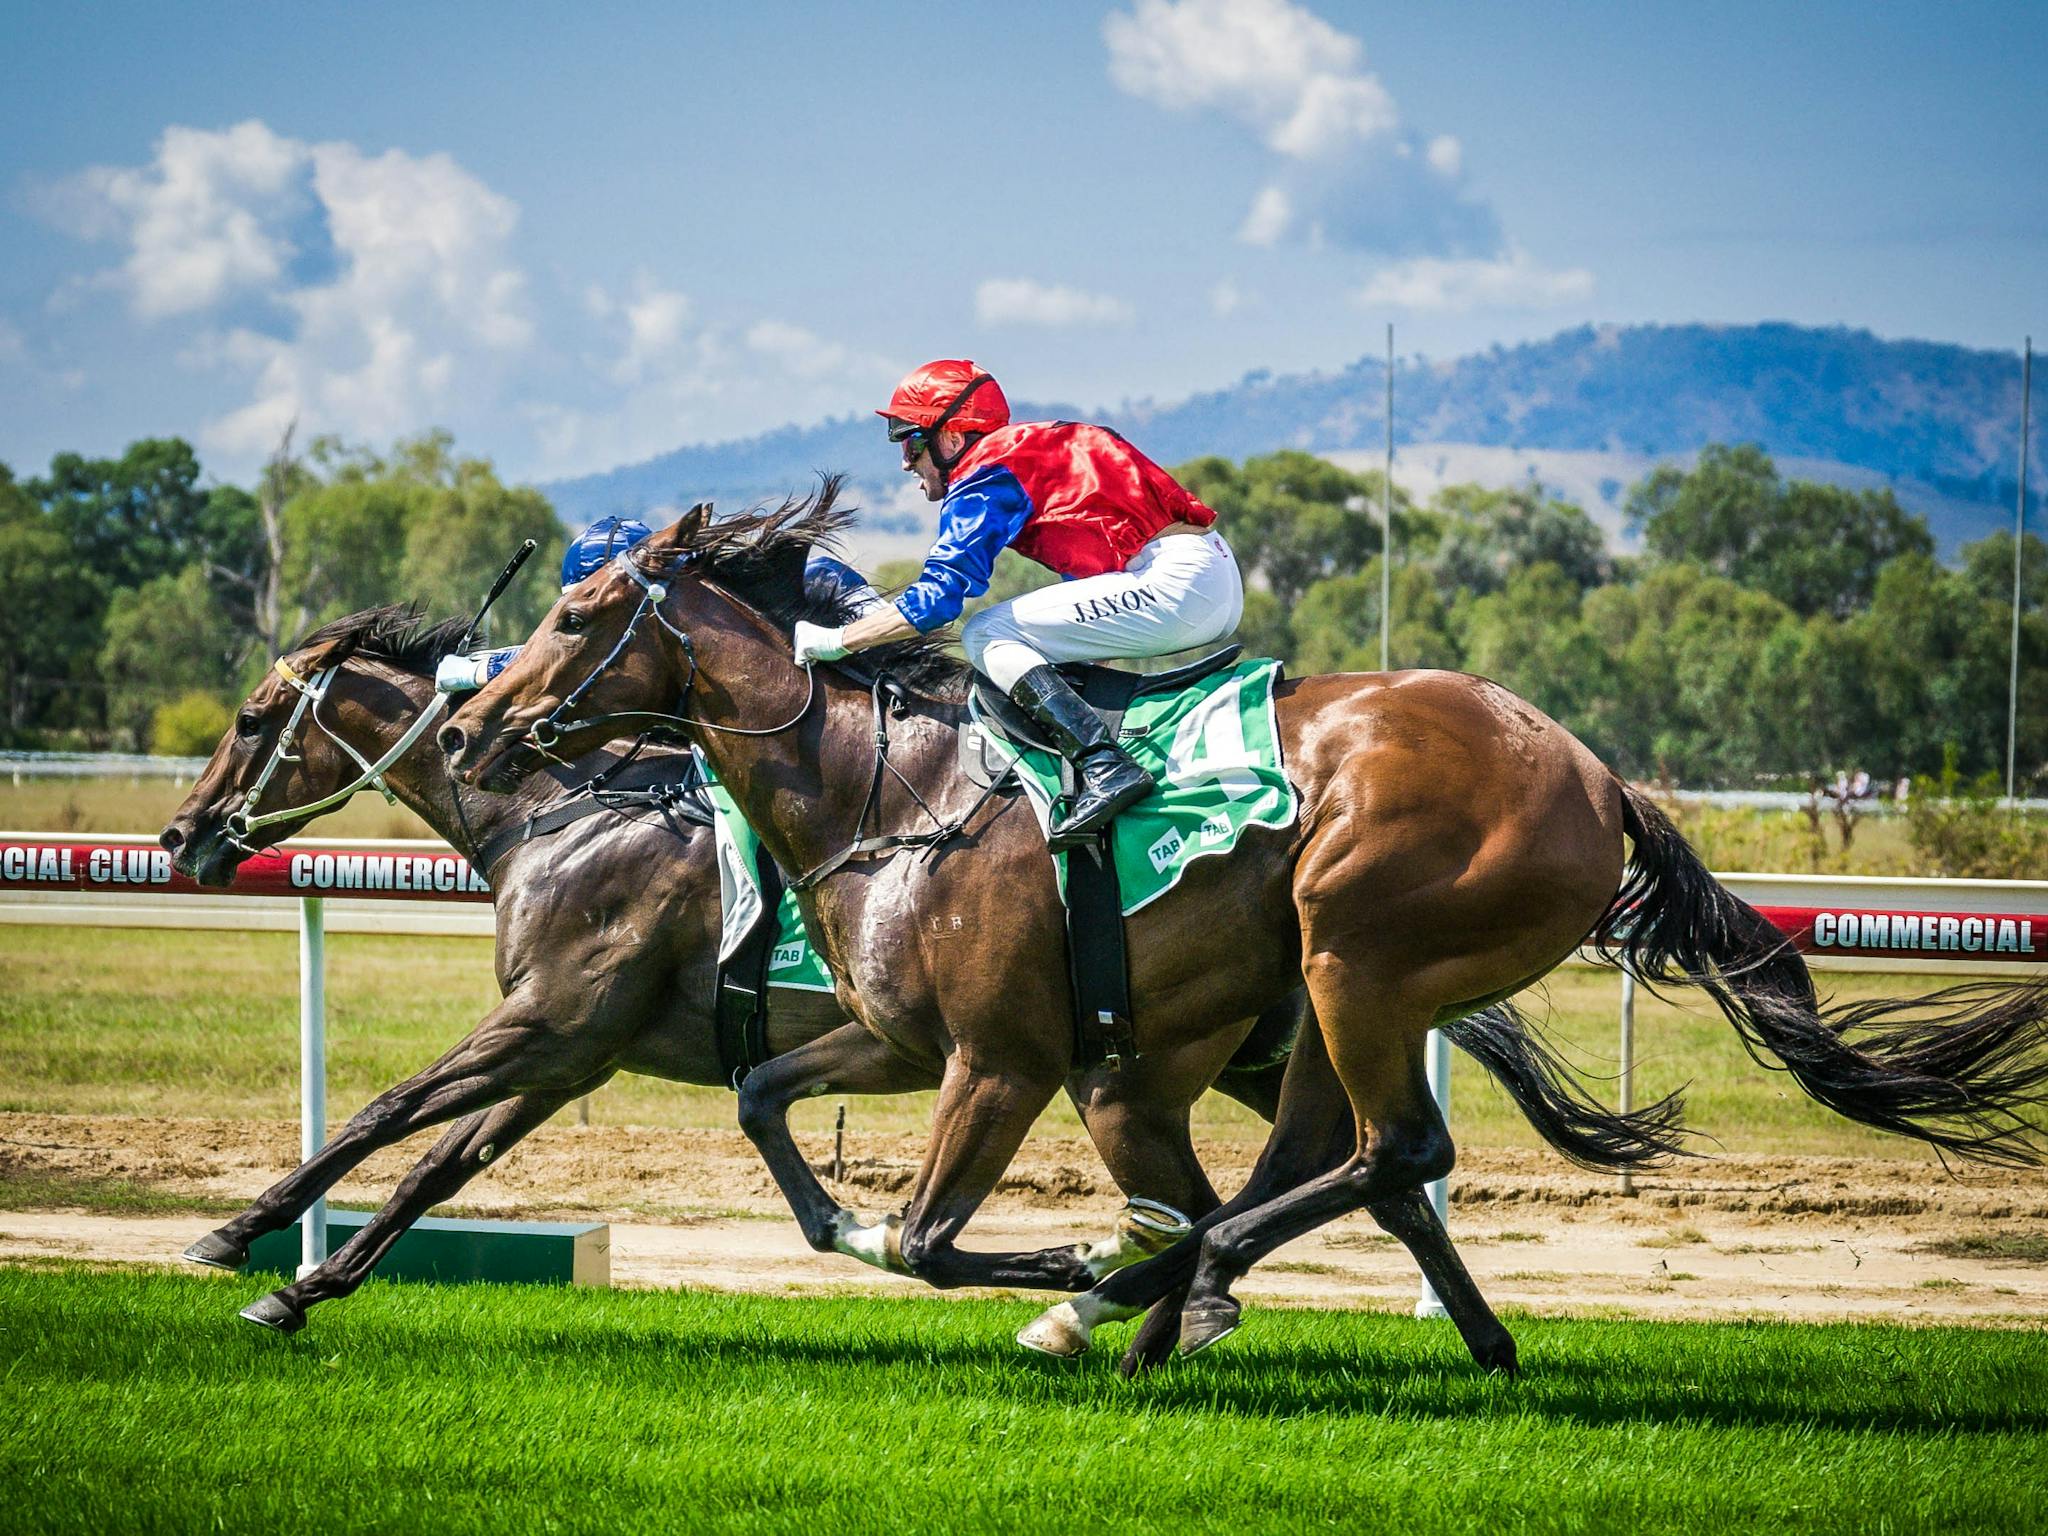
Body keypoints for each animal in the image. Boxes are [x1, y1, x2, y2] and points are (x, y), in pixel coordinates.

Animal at [158, 601, 1556, 1343]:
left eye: (249, 721)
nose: (181, 837)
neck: (565, 811)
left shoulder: (554, 1018)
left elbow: (390, 1114)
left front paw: (234, 1237)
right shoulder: (571, 1050)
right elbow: (439, 1162)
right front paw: (306, 1284)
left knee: (1351, 1171)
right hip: (1255, 1046)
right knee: (1377, 1181)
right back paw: (1457, 1342)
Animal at [440, 485, 2048, 1373]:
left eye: (579, 614)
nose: (467, 723)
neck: (891, 786)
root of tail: (1596, 774)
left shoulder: (1002, 1058)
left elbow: (931, 1239)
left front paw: (1067, 1274)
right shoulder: (901, 1040)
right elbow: (775, 1112)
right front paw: (937, 1242)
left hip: (1359, 953)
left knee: (1387, 1155)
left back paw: (1150, 1292)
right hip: (1305, 1008)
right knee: (1328, 1161)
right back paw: (1255, 1311)